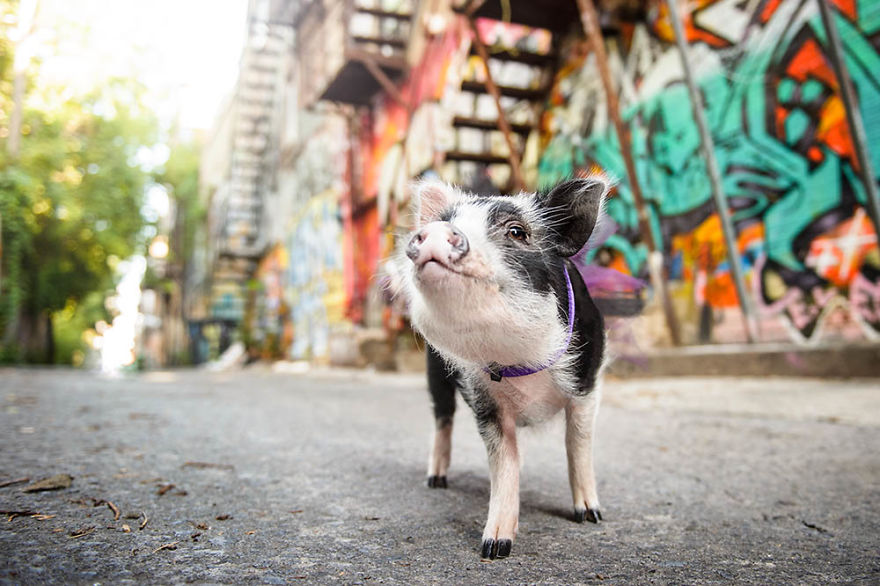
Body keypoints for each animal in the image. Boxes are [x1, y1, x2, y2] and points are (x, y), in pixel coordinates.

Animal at [394, 176, 609, 560]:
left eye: (516, 231)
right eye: (450, 220)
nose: (439, 230)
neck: (519, 360)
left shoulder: (588, 382)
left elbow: (578, 443)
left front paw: (590, 516)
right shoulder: (485, 401)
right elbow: (505, 463)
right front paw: (493, 549)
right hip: (434, 373)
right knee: (442, 417)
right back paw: (435, 481)